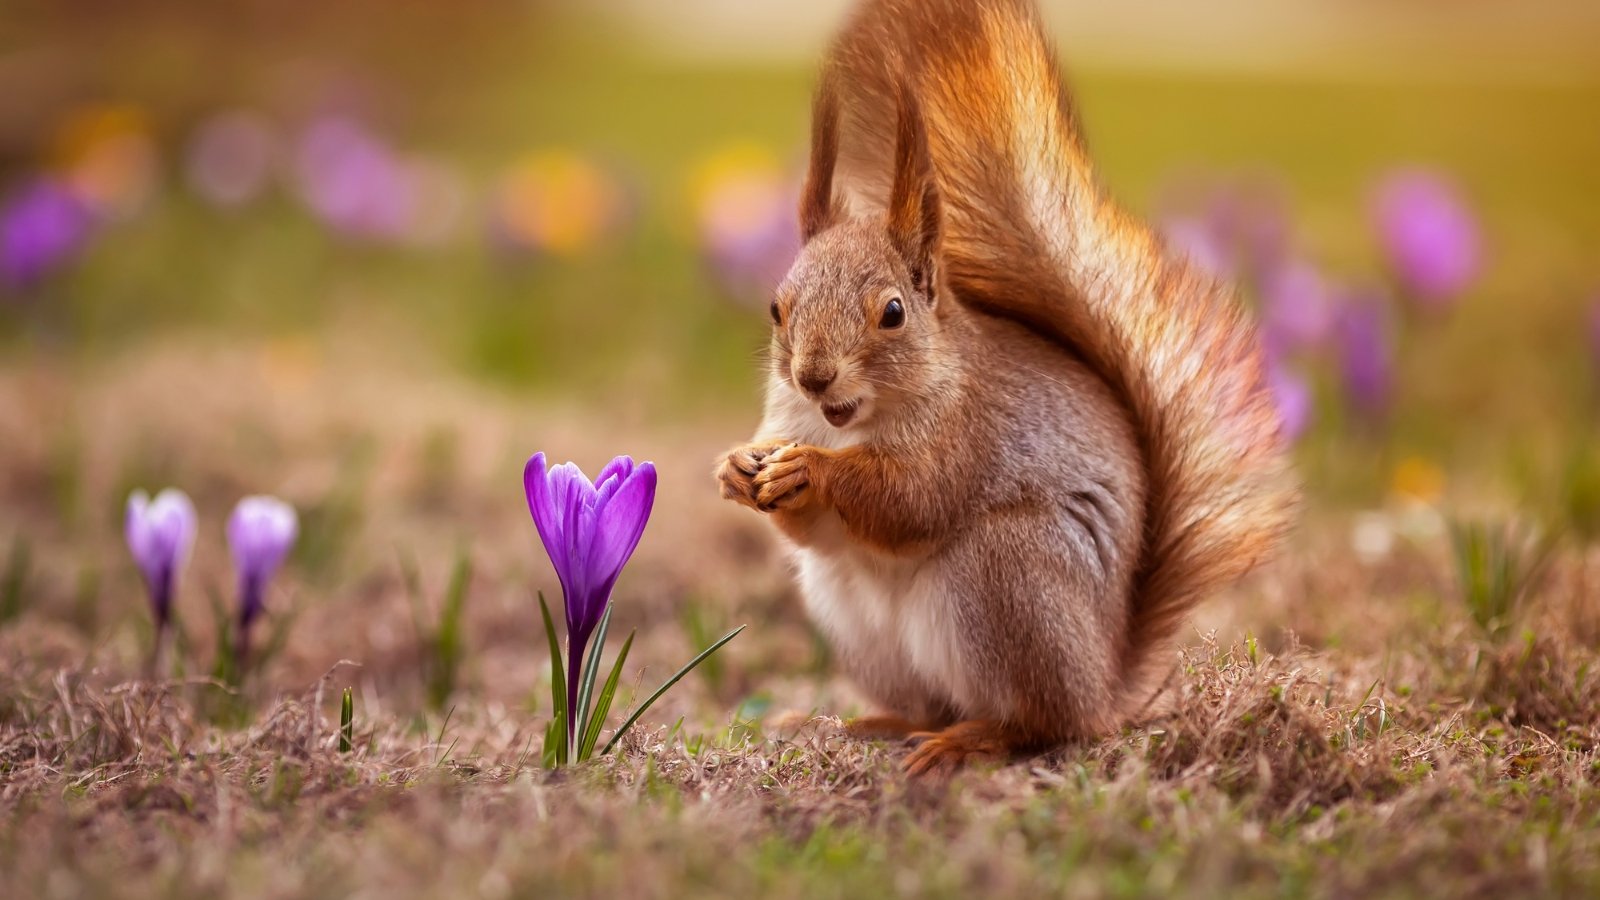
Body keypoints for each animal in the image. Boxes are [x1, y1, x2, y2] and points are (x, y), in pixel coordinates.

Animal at [720, 0, 1292, 775]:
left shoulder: (970, 431)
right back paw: (875, 723)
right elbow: (810, 529)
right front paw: (737, 469)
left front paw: (812, 470)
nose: (812, 375)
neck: (851, 422)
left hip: (1006, 579)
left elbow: (912, 500)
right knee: (930, 703)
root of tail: (1104, 681)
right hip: (855, 619)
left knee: (1041, 722)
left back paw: (971, 740)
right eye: (778, 308)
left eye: (892, 312)